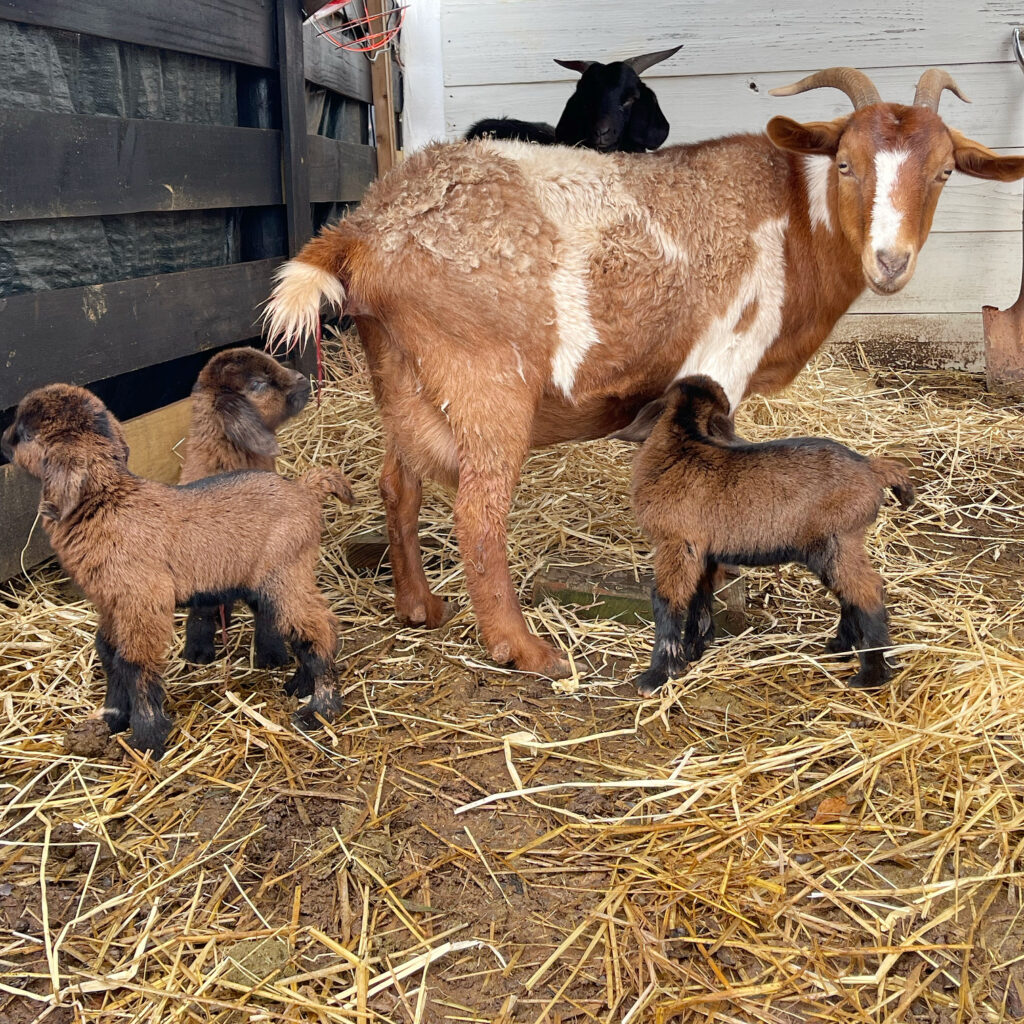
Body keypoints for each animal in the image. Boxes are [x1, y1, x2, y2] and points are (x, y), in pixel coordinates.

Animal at [264, 70, 1024, 679]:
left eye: (945, 171)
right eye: (845, 164)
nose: (890, 262)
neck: (794, 222)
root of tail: (363, 229)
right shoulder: (726, 358)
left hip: (400, 376)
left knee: (399, 484)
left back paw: (419, 606)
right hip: (484, 376)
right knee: (479, 512)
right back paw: (524, 649)